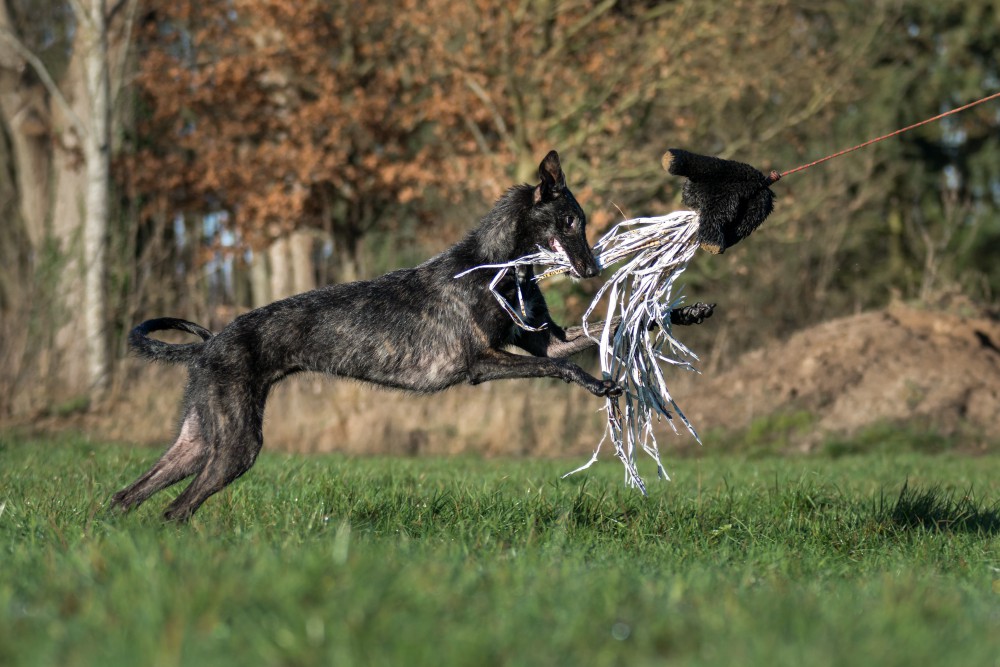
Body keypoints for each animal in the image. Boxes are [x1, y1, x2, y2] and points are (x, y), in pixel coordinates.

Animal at [113, 151, 716, 520]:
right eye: (570, 222)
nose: (593, 270)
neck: (496, 267)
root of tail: (210, 342)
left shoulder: (542, 338)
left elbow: (600, 331)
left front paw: (681, 313)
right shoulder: (481, 363)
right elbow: (558, 365)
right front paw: (599, 385)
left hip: (198, 439)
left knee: (128, 496)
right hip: (236, 443)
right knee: (175, 508)